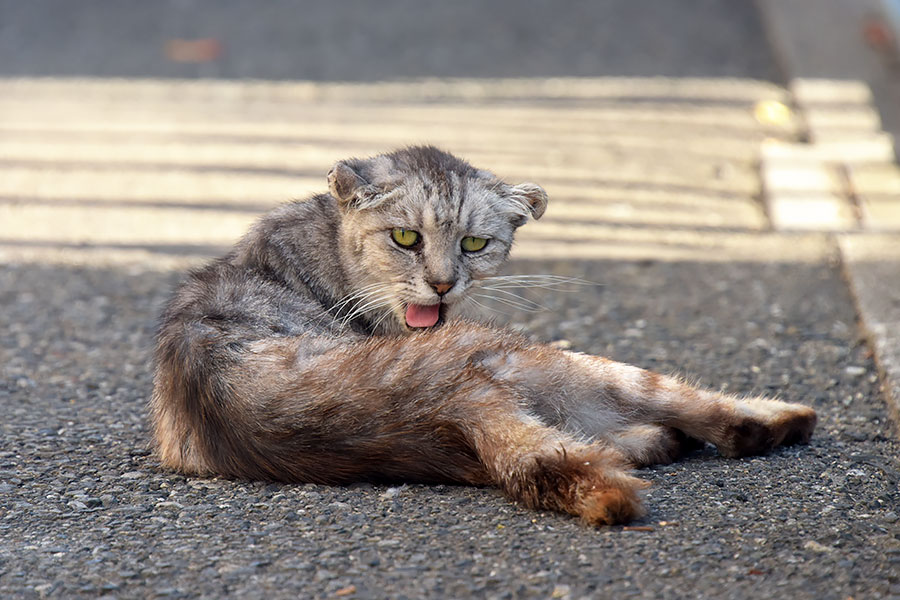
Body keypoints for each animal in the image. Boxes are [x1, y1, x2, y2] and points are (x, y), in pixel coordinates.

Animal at [153, 145, 816, 524]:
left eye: (475, 243)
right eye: (405, 238)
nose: (444, 284)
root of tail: (449, 406)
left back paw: (660, 439)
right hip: (534, 356)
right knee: (697, 411)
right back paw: (777, 418)